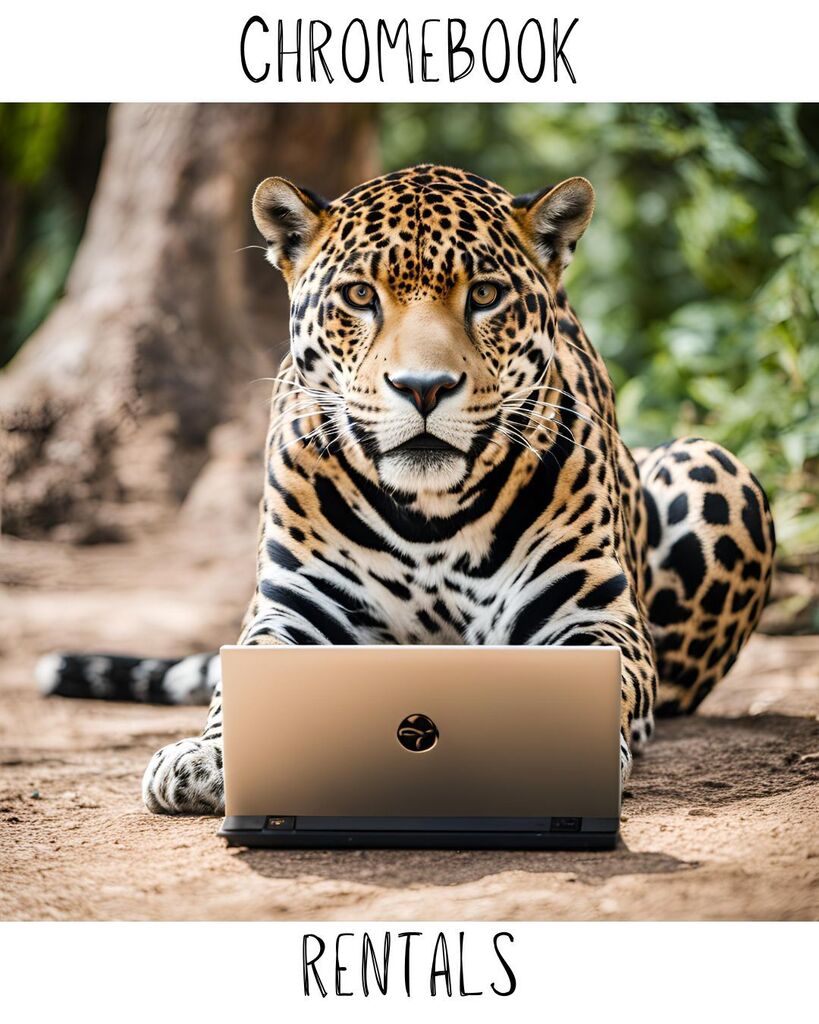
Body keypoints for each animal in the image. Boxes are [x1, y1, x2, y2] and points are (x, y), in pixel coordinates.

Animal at [37, 164, 776, 815]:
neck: (430, 514)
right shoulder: (298, 603)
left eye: (484, 296)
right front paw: (207, 758)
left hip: (715, 465)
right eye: (361, 297)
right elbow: (246, 674)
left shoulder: (589, 613)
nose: (424, 388)